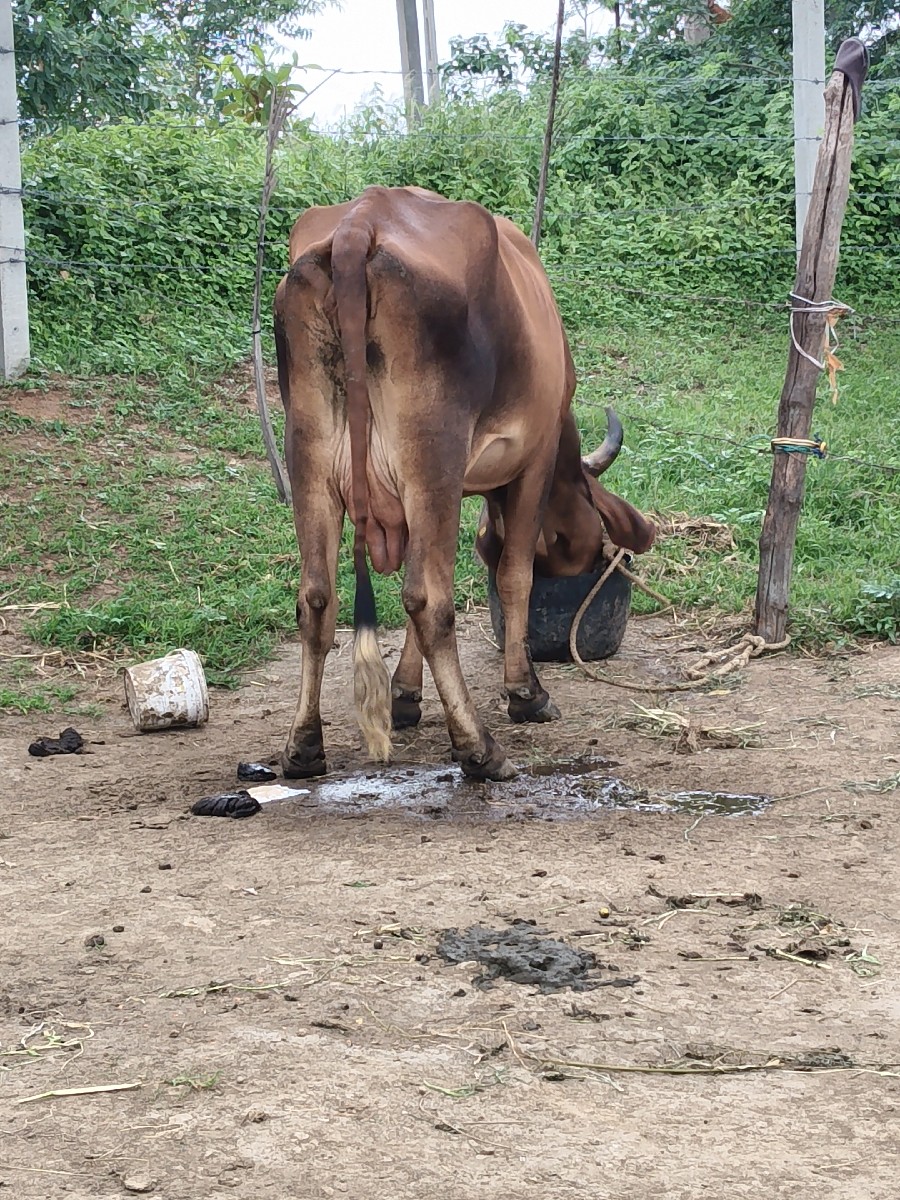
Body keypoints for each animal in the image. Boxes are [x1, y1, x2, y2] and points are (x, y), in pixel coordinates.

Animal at [273, 185, 654, 783]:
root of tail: (361, 223)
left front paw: (405, 694)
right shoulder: (535, 461)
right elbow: (514, 576)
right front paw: (526, 691)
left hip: (310, 458)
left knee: (318, 599)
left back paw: (304, 747)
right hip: (434, 458)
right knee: (429, 599)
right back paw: (478, 746)